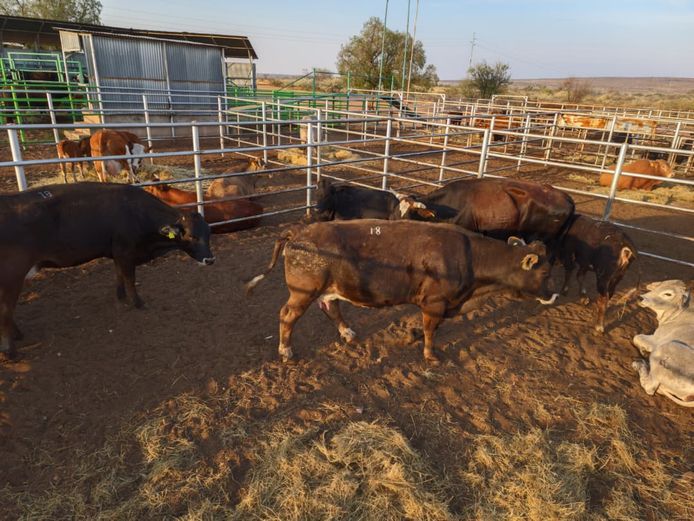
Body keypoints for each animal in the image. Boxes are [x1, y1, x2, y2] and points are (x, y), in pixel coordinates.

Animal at [0, 182, 214, 361]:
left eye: (209, 233)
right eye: (192, 236)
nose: (210, 259)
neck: (137, 213)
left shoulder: (117, 253)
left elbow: (119, 275)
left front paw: (121, 297)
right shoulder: (125, 252)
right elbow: (129, 278)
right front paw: (138, 303)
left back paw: (17, 335)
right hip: (12, 276)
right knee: (5, 311)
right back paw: (11, 352)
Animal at [245, 220, 557, 363]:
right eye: (544, 273)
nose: (553, 295)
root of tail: (298, 233)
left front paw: (415, 336)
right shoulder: (434, 303)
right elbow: (432, 330)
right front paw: (430, 354)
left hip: (330, 288)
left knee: (331, 307)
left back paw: (348, 333)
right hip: (303, 292)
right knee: (288, 315)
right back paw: (286, 349)